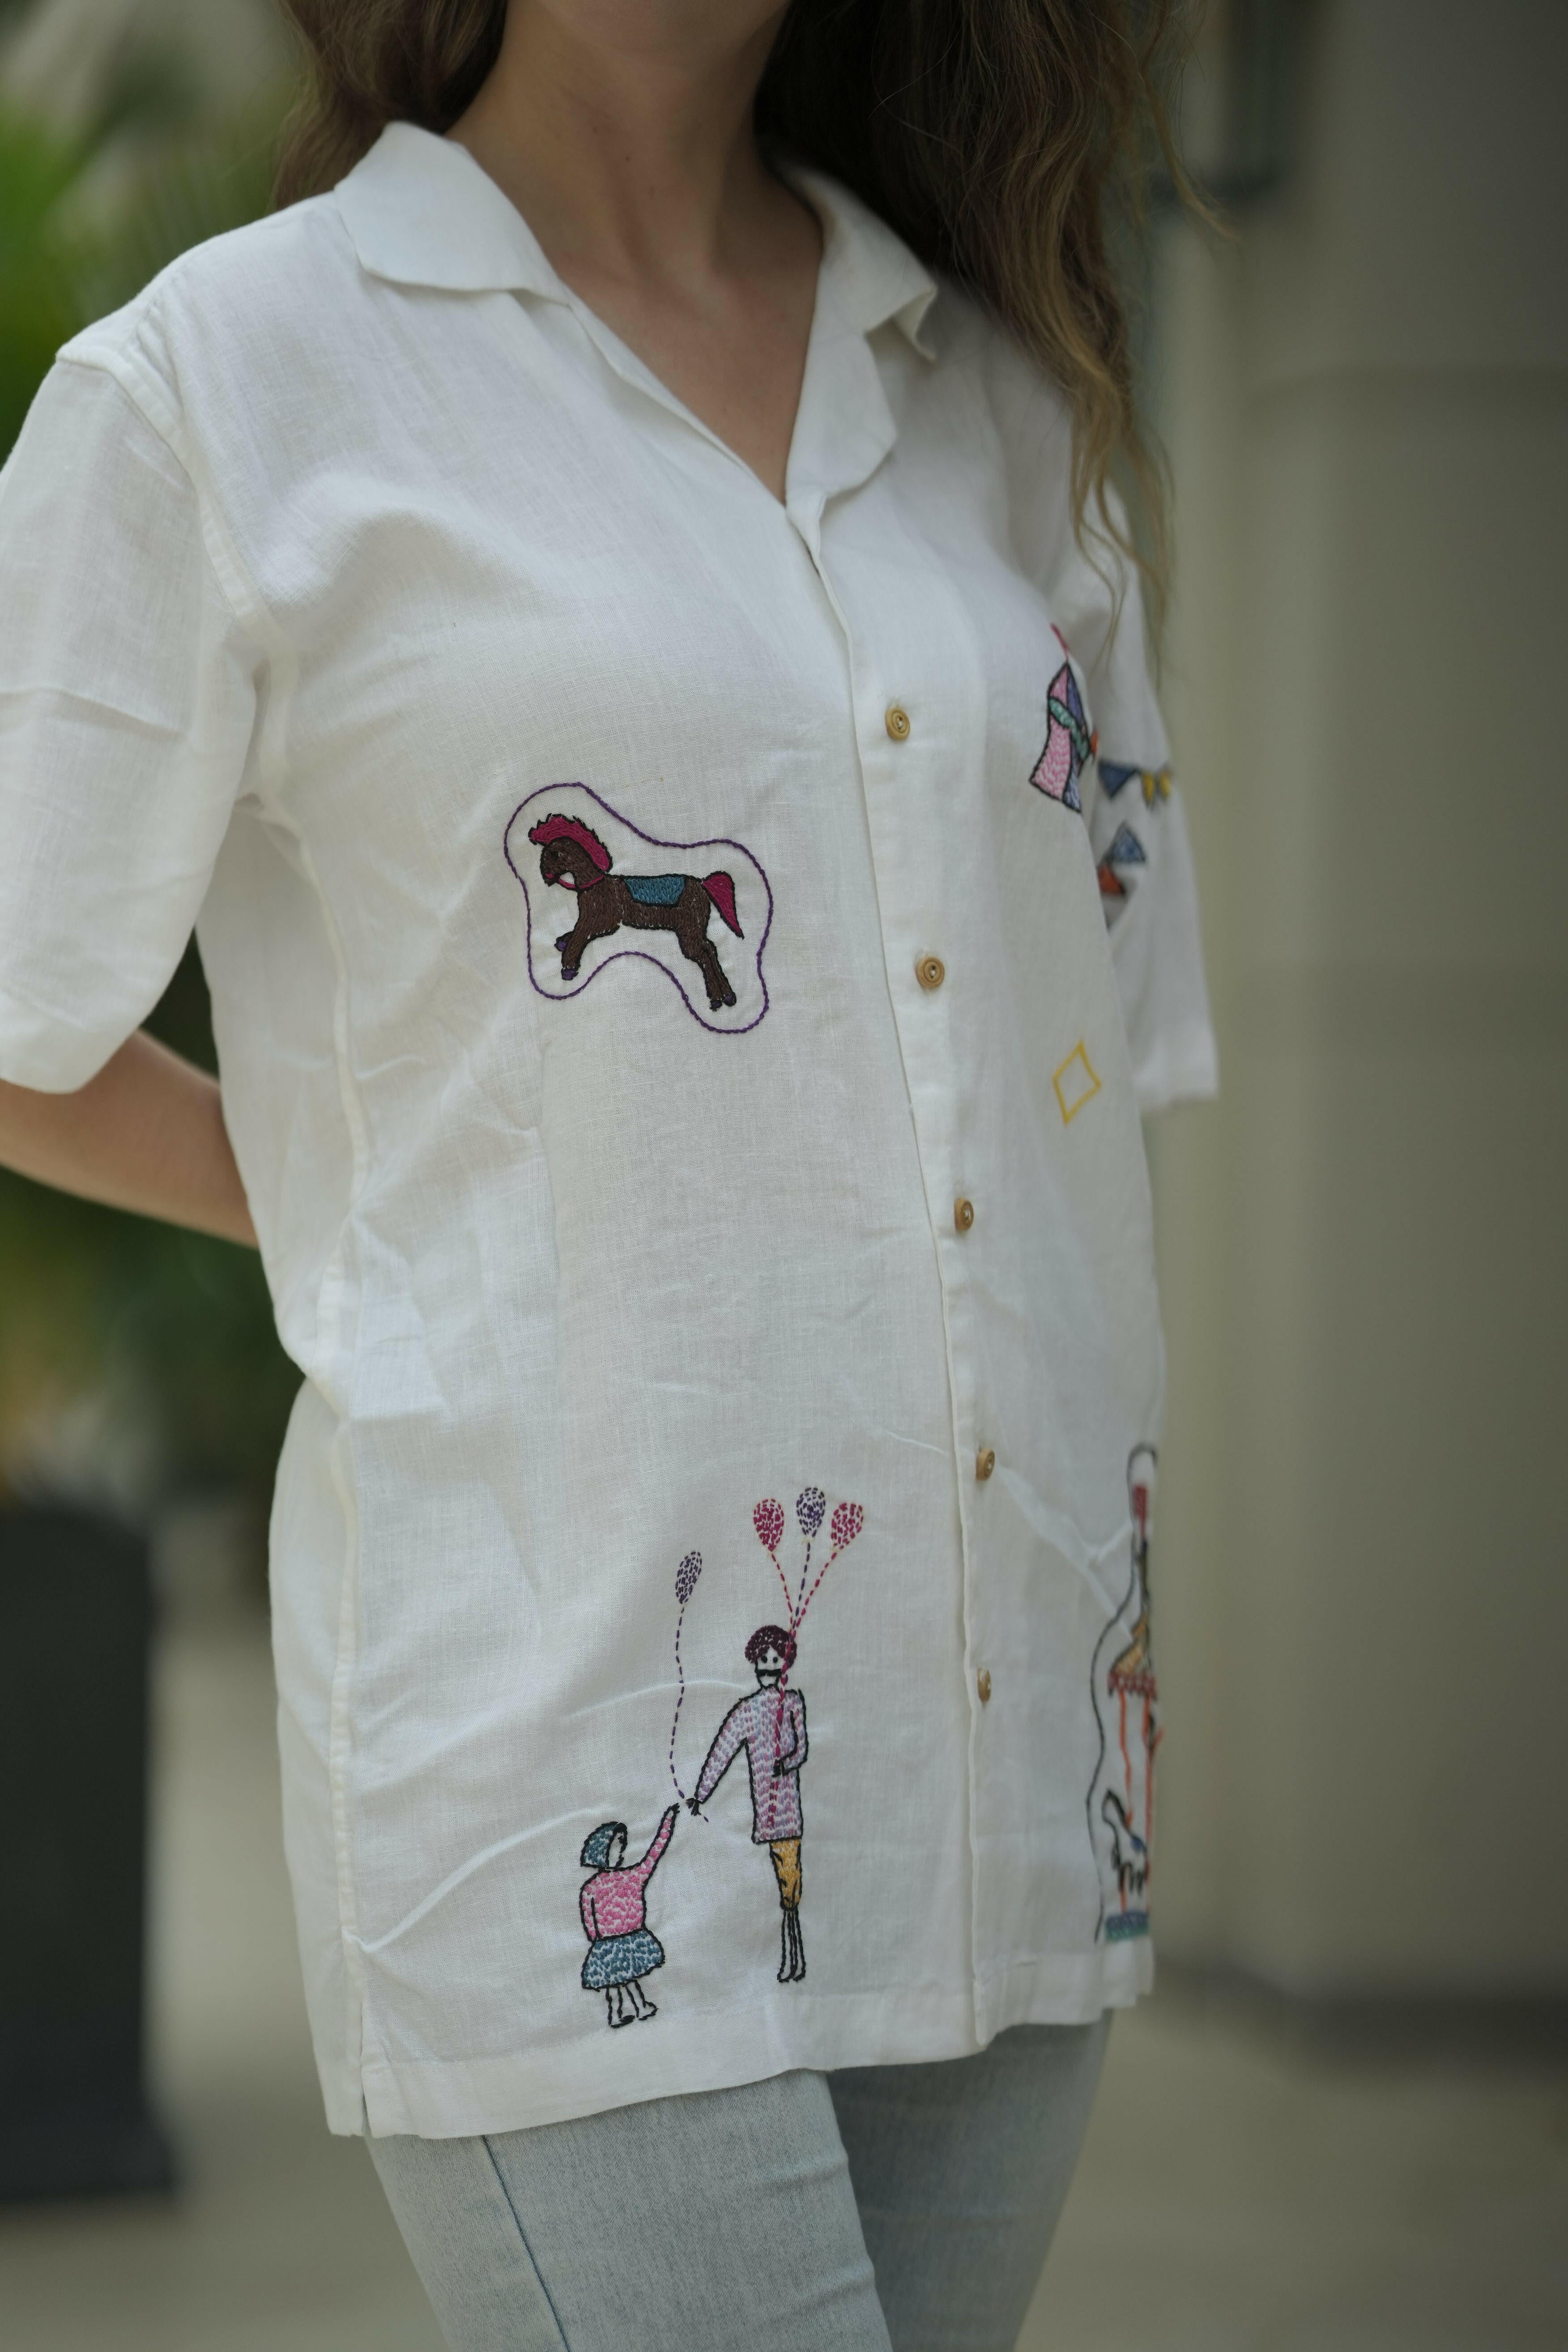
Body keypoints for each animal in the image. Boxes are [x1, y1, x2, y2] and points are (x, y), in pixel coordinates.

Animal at [531, 814, 747, 1006]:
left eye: (552, 855)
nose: (545, 875)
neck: (596, 884)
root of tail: (702, 884)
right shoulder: (595, 921)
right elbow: (574, 932)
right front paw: (562, 942)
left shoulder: (602, 920)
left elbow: (578, 936)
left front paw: (568, 966)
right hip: (695, 928)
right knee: (710, 949)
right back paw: (727, 995)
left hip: (689, 929)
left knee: (704, 954)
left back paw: (717, 997)